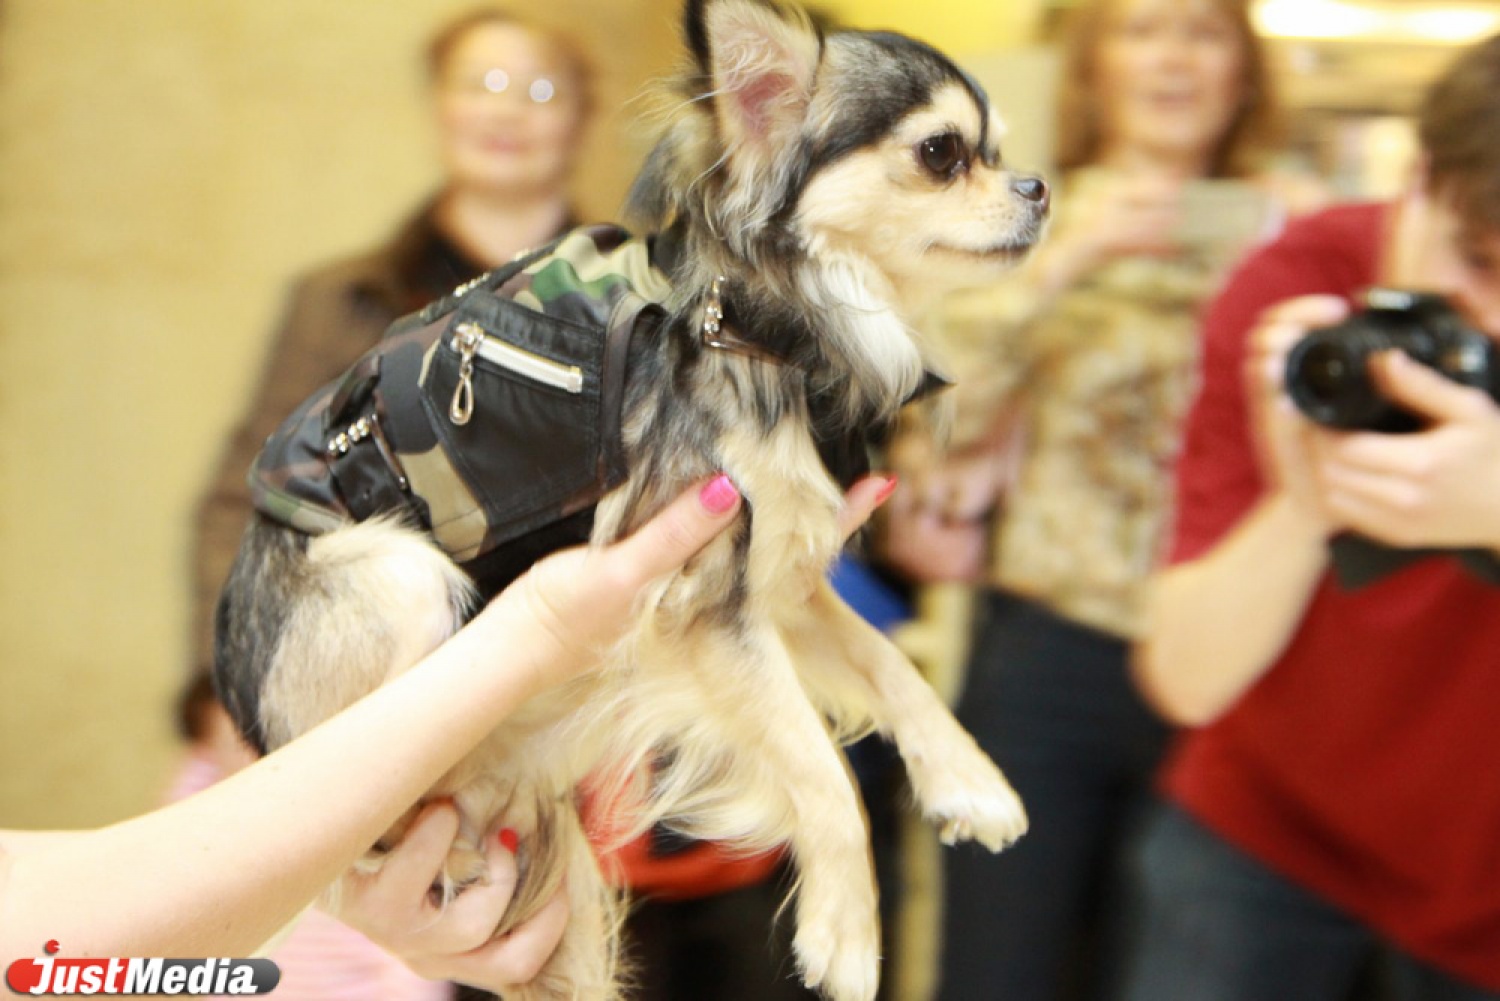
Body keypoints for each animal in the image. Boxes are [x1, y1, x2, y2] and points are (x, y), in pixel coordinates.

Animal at [213, 2, 1048, 999]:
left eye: (998, 149)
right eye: (941, 153)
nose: (1039, 186)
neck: (762, 331)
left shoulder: (774, 582)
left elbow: (891, 666)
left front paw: (970, 780)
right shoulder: (700, 609)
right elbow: (820, 767)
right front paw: (847, 931)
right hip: (396, 582)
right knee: (357, 811)